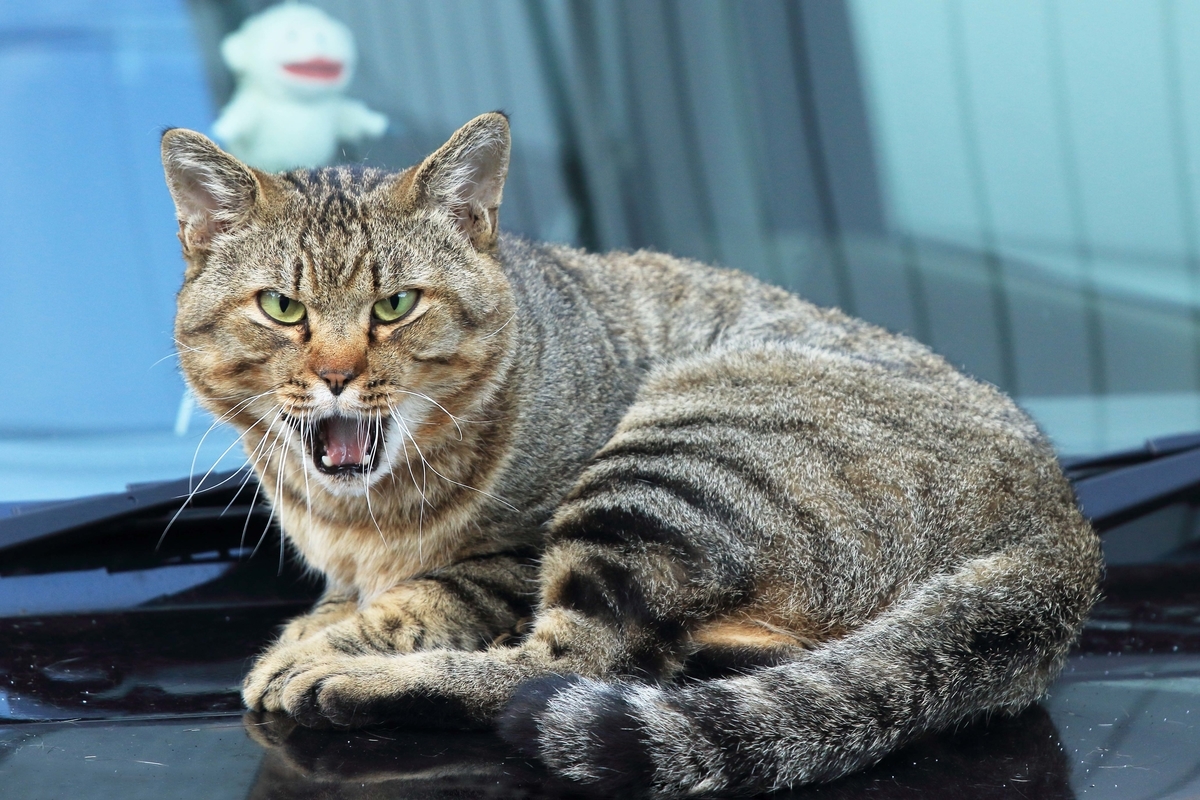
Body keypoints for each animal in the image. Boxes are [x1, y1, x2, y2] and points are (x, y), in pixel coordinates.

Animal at [164, 113, 1099, 800]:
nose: (336, 374)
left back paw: (352, 681)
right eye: (282, 308)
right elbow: (350, 595)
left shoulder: (510, 557)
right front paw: (315, 621)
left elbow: (417, 600)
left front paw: (319, 647)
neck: (352, 515)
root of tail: (1066, 524)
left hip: (673, 460)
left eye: (395, 305)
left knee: (566, 669)